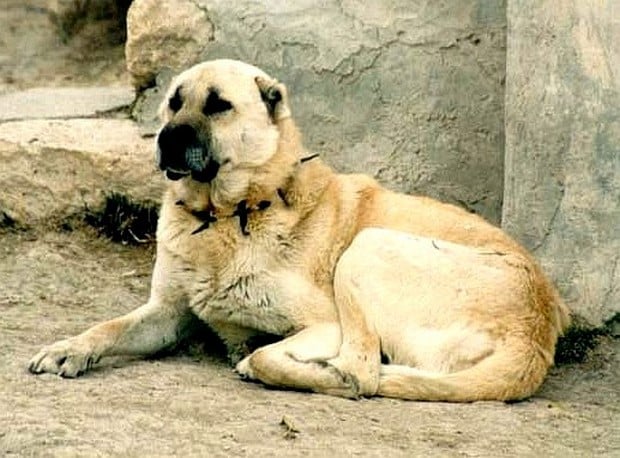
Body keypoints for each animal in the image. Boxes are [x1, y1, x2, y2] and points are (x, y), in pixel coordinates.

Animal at [30, 58, 572, 400]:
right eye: (174, 102)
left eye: (218, 105)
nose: (166, 139)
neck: (230, 212)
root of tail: (536, 335)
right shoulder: (166, 314)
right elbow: (109, 326)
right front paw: (69, 348)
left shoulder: (323, 324)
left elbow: (275, 353)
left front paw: (261, 356)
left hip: (367, 248)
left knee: (362, 372)